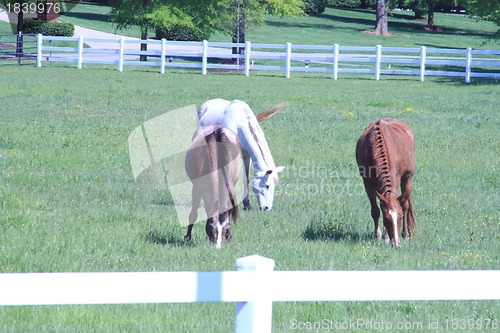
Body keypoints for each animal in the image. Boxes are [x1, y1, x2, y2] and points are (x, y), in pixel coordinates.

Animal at [356, 117, 418, 246]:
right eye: (386, 218)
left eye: (400, 216)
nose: (396, 243)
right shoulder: (367, 182)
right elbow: (376, 210)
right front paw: (379, 236)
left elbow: (402, 206)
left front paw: (387, 236)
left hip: (407, 178)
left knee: (406, 205)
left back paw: (405, 234)